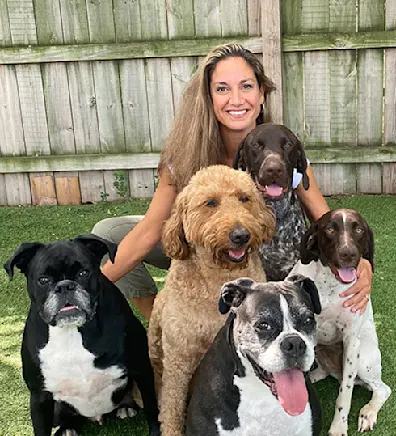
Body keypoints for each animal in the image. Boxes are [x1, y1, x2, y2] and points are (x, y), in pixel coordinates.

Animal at [3, 235, 161, 436]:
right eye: (43, 279)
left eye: (84, 273)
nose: (64, 286)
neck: (72, 332)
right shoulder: (39, 397)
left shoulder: (142, 371)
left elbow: (152, 410)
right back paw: (67, 429)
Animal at [148, 164, 276, 436]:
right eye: (210, 202)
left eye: (244, 198)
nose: (240, 234)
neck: (219, 278)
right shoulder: (178, 358)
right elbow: (172, 408)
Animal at [290, 209, 392, 434]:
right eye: (330, 229)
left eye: (359, 229)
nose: (348, 254)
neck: (329, 283)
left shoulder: (351, 341)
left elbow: (344, 395)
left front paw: (338, 427)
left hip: (363, 360)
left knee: (382, 389)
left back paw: (368, 413)